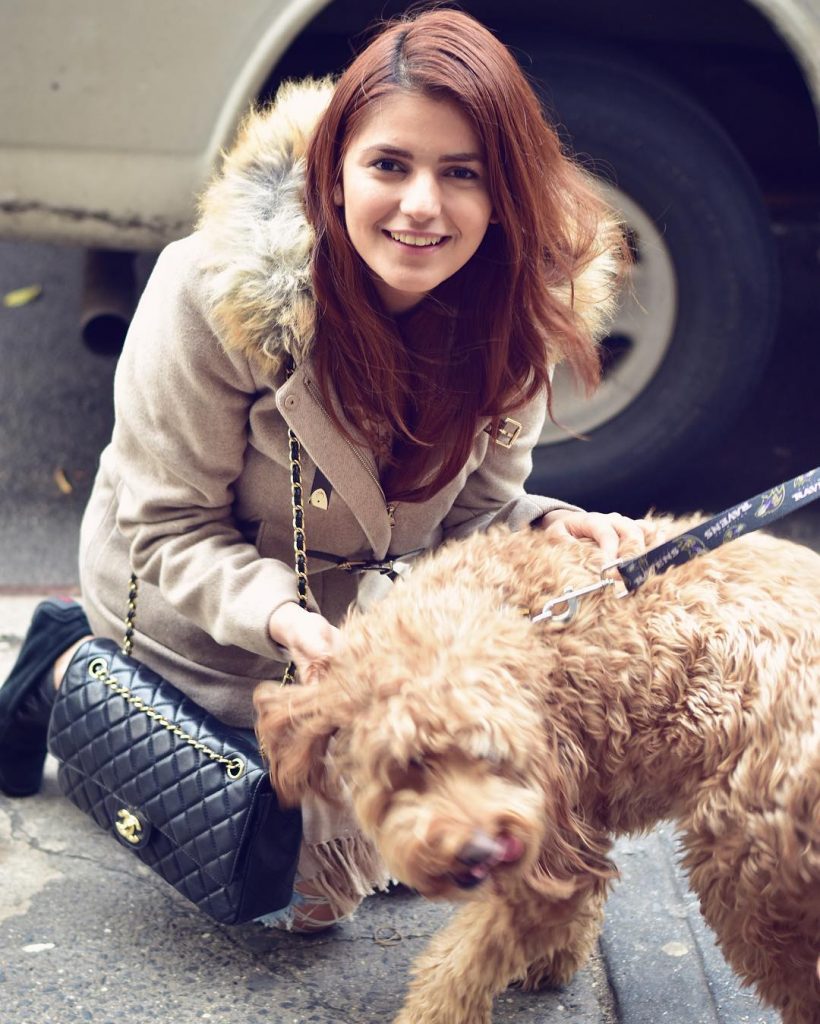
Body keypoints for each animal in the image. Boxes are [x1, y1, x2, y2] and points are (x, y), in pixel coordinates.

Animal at [255, 520, 818, 1024]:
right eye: (408, 766)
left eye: (492, 756)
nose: (480, 851)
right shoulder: (575, 815)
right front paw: (556, 959)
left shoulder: (550, 844)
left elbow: (462, 963)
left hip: (744, 877)